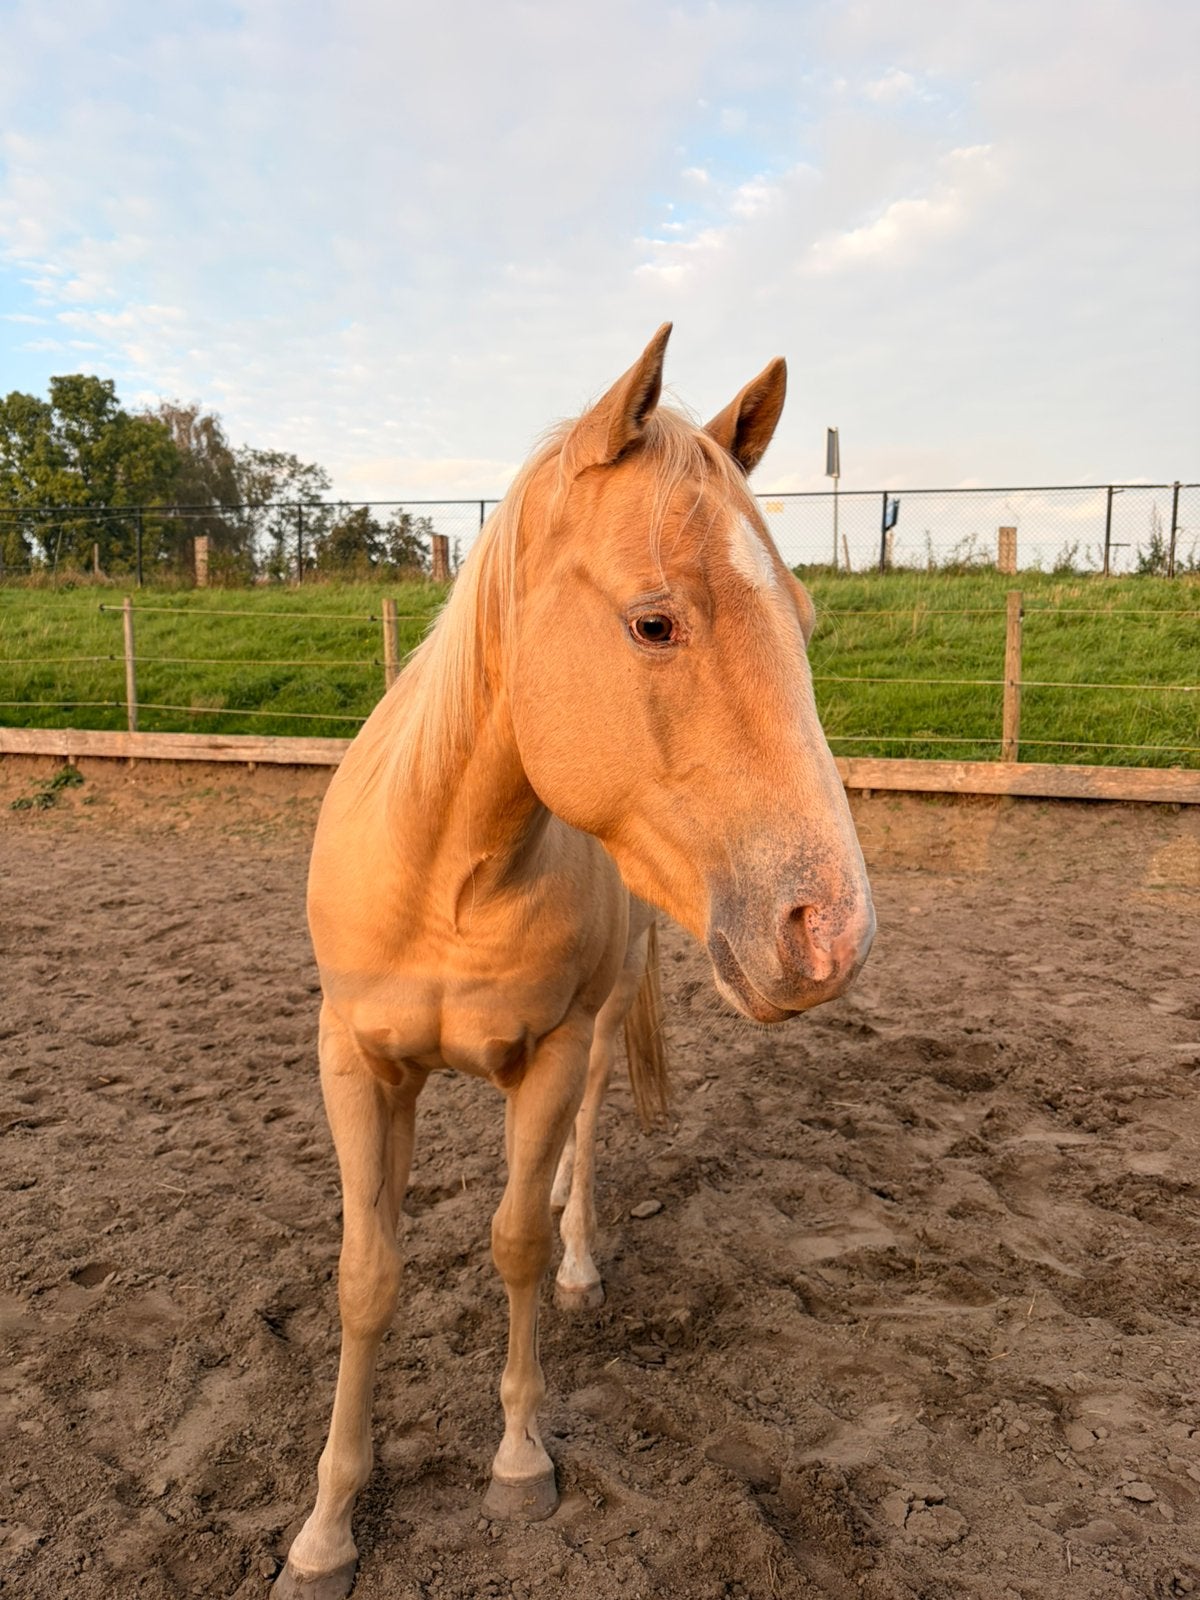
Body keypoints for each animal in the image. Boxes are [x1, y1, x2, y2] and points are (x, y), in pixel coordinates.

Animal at [275, 325, 875, 1599]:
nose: (830, 931)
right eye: (655, 622)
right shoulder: (354, 1064)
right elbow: (367, 1271)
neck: (449, 869)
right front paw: (328, 1522)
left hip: (602, 1016)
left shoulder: (547, 1053)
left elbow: (509, 1244)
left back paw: (582, 1251)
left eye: (800, 619)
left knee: (586, 1135)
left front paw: (517, 1458)